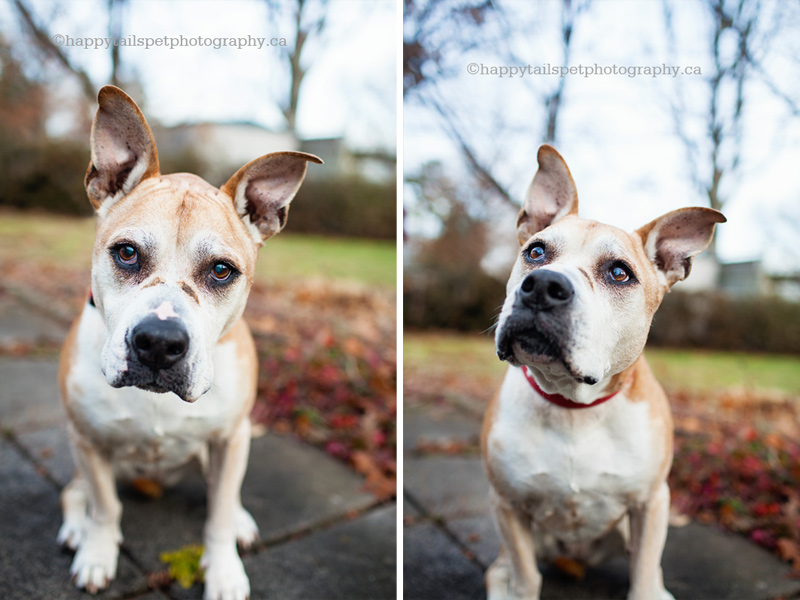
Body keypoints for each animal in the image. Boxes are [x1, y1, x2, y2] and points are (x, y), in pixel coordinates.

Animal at [57, 88, 322, 600]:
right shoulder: (88, 442)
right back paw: (77, 528)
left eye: (221, 270)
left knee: (226, 496)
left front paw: (223, 570)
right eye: (126, 253)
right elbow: (105, 507)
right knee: (74, 491)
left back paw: (239, 520)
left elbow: (216, 515)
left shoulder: (230, 439)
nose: (159, 343)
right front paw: (98, 551)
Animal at [482, 145, 724, 600]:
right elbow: (526, 575)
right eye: (536, 252)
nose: (543, 286)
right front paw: (517, 584)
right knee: (504, 564)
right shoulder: (508, 505)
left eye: (619, 273)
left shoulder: (650, 503)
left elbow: (644, 573)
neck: (574, 406)